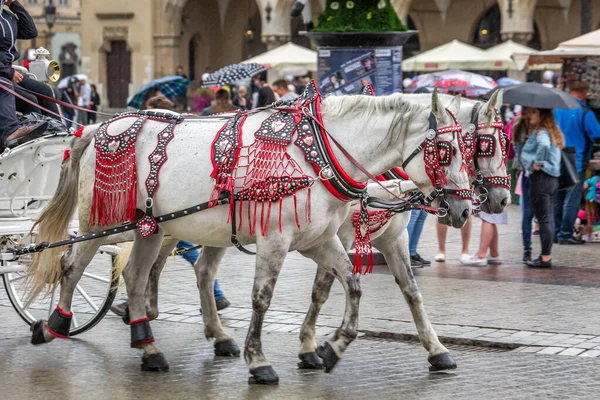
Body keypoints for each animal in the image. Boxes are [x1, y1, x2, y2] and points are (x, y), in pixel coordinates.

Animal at [25, 88, 472, 384]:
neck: (317, 155)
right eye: (446, 152)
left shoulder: (320, 240)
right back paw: (54, 326)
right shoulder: (276, 240)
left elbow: (353, 286)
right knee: (72, 266)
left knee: (138, 277)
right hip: (100, 222)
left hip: (150, 227)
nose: (466, 210)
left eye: (470, 150)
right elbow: (262, 298)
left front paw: (329, 348)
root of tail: (97, 126)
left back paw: (150, 347)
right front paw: (259, 361)